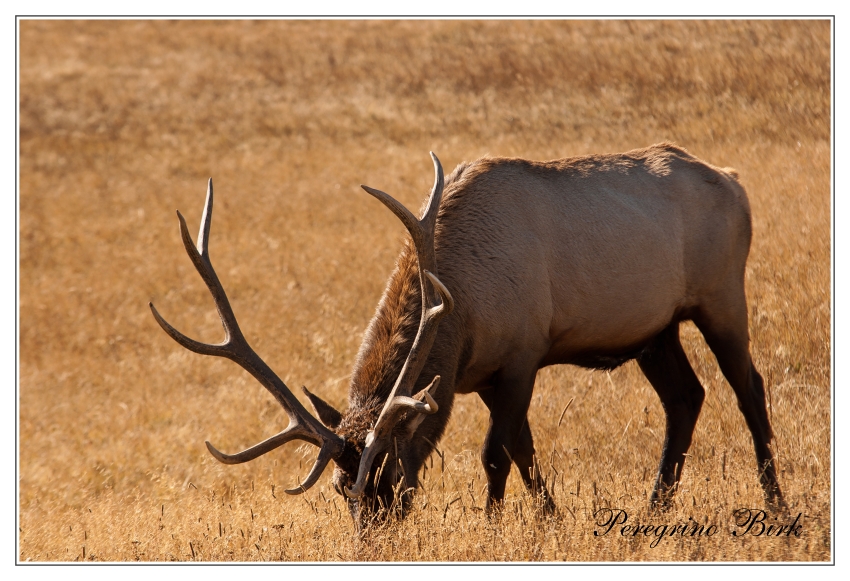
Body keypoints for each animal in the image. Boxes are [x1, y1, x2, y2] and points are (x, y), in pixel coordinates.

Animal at [151, 142, 780, 524]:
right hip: (656, 329)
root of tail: (735, 180)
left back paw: (775, 505)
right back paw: (654, 508)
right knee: (686, 396)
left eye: (390, 478)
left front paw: (497, 525)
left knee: (749, 387)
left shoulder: (524, 353)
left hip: (722, 295)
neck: (461, 314)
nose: (370, 540)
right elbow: (522, 449)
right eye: (340, 489)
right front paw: (546, 518)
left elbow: (496, 454)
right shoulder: (477, 378)